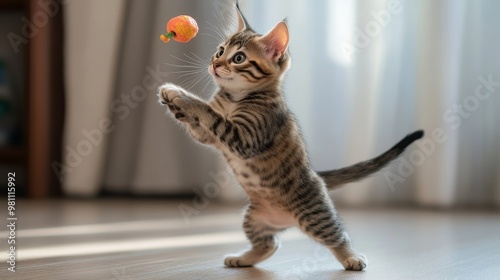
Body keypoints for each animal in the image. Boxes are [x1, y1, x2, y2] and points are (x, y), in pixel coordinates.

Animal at [158, 5, 424, 270]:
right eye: (220, 51)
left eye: (239, 58)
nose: (214, 63)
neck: (234, 98)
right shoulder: (211, 136)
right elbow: (200, 126)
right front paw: (172, 102)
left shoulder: (246, 136)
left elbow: (209, 113)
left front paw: (182, 96)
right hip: (253, 219)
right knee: (270, 244)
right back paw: (244, 258)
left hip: (314, 215)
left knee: (337, 235)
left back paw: (352, 257)